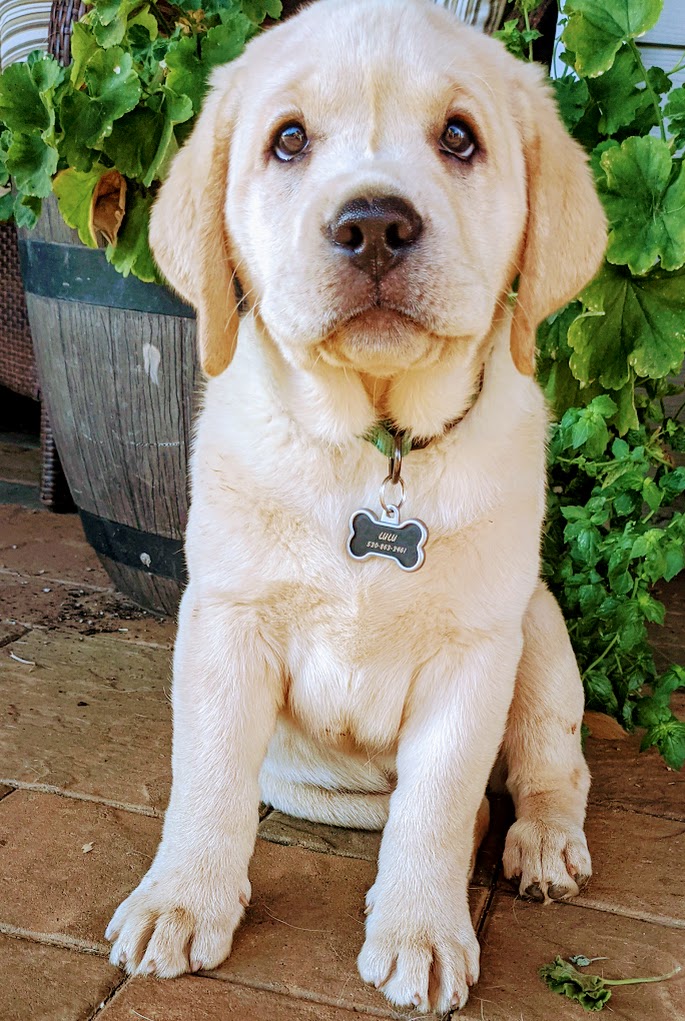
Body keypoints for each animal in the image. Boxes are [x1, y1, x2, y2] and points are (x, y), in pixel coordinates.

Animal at [105, 0, 607, 1012]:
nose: (373, 224)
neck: (375, 450)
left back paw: (542, 841)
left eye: (459, 137)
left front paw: (420, 929)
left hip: (537, 631)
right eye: (288, 140)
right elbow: (207, 779)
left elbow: (439, 802)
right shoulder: (226, 621)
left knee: (550, 763)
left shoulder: (473, 653)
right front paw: (181, 899)